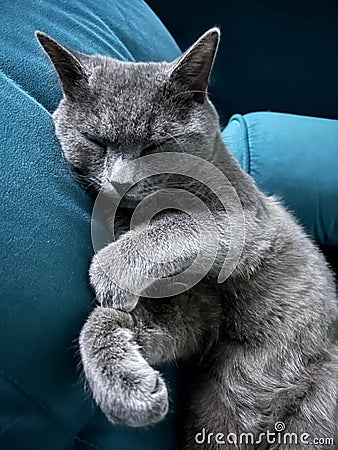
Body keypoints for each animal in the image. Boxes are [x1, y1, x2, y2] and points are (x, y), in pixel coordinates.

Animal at [35, 29, 336, 448]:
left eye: (155, 145)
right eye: (95, 141)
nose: (120, 181)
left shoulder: (249, 221)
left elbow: (182, 222)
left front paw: (108, 272)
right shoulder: (195, 312)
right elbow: (108, 321)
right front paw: (129, 392)